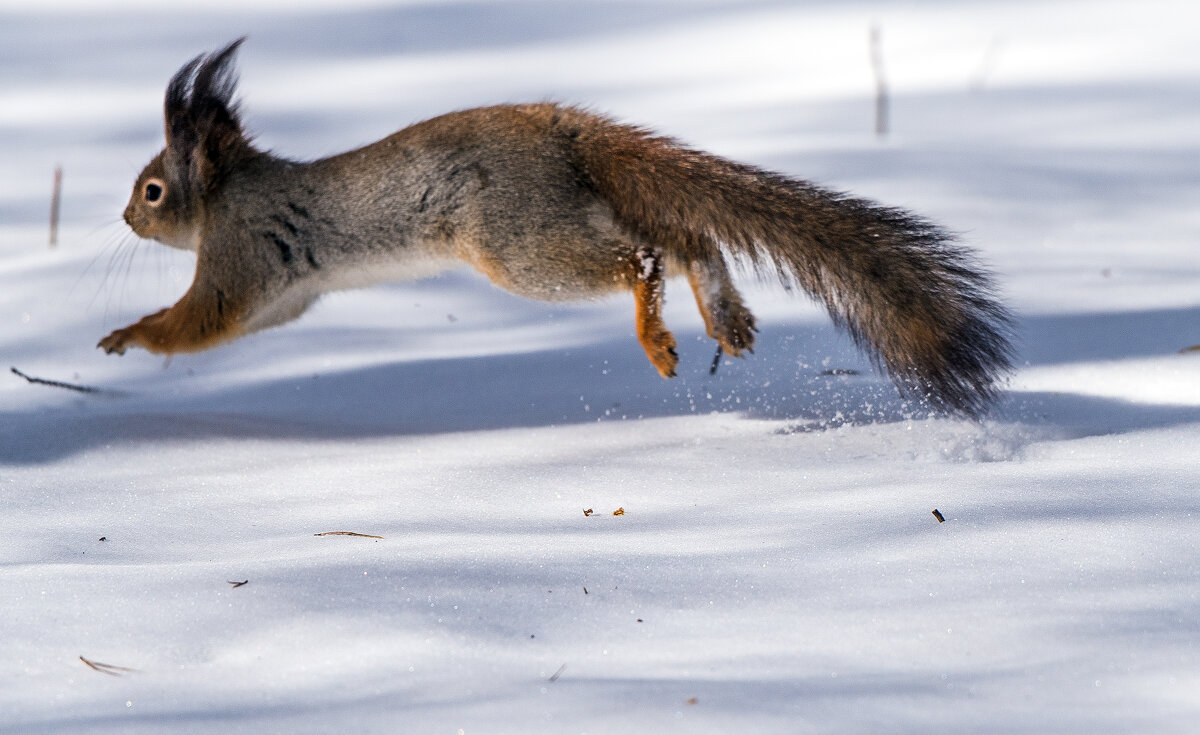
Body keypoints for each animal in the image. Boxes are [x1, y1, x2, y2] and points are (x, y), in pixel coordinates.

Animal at [100, 40, 1012, 415]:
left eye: (154, 190)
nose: (123, 216)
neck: (232, 192)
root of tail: (563, 132)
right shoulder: (286, 294)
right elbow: (254, 322)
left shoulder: (242, 255)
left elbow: (202, 322)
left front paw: (125, 335)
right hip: (574, 210)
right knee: (688, 239)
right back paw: (725, 317)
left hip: (520, 242)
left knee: (644, 256)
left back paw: (659, 336)